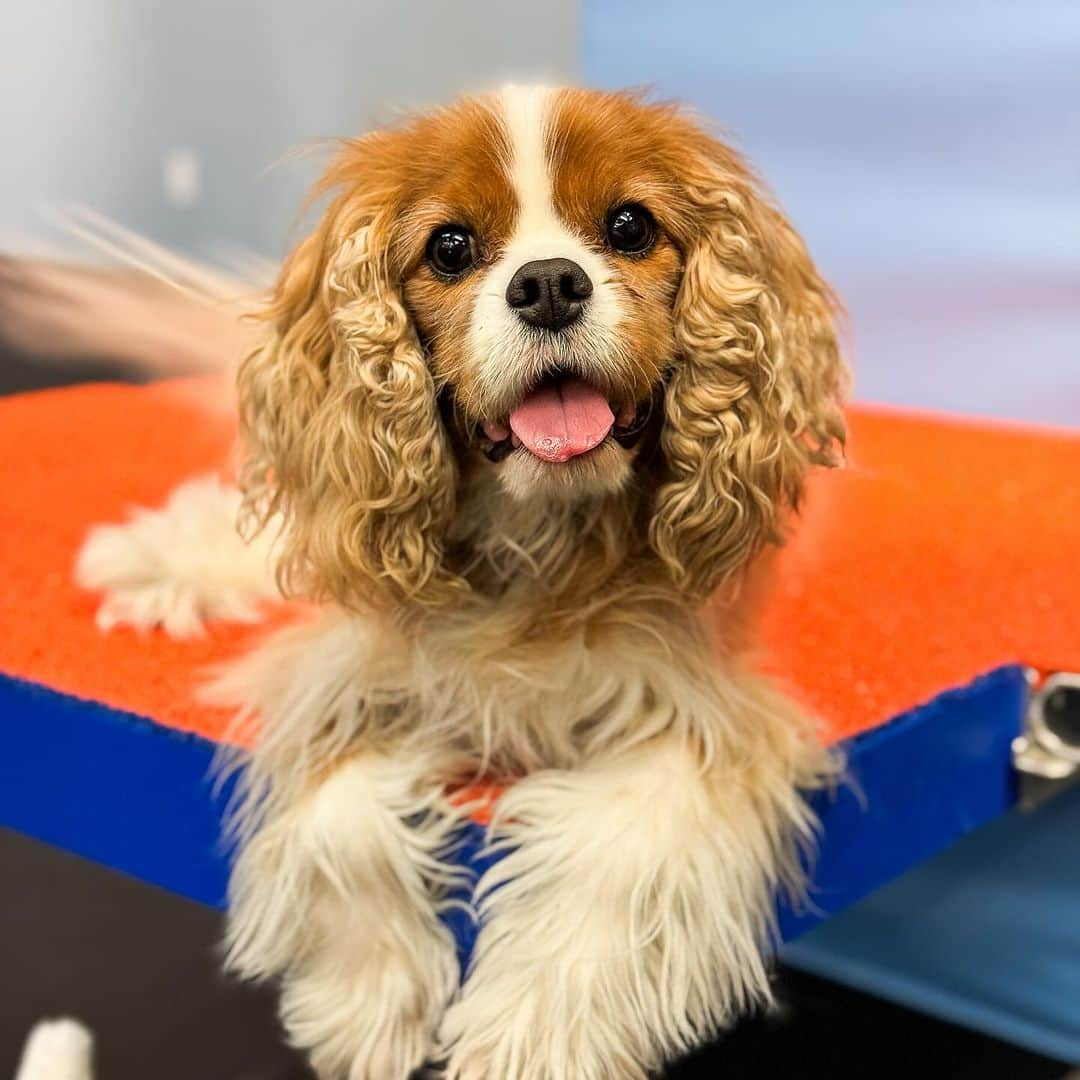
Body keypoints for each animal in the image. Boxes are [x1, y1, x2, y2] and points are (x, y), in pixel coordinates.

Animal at [67, 86, 846, 1080]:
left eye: (630, 227)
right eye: (450, 247)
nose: (549, 283)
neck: (535, 532)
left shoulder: (706, 715)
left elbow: (619, 851)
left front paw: (536, 1030)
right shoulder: (352, 671)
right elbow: (340, 825)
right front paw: (367, 1001)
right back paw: (152, 562)